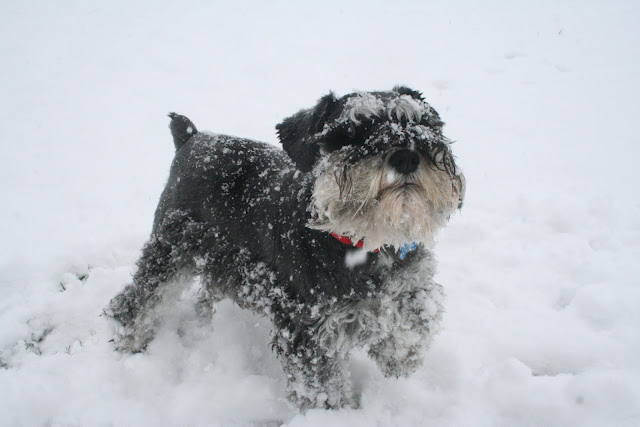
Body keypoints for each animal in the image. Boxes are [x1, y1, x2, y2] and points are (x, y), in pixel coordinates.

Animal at [107, 86, 465, 409]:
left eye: (422, 123)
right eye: (350, 132)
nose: (406, 156)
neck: (362, 241)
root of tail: (193, 139)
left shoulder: (409, 288)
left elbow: (413, 321)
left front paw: (400, 359)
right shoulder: (309, 332)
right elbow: (323, 387)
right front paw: (334, 413)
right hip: (171, 251)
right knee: (137, 301)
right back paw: (129, 340)